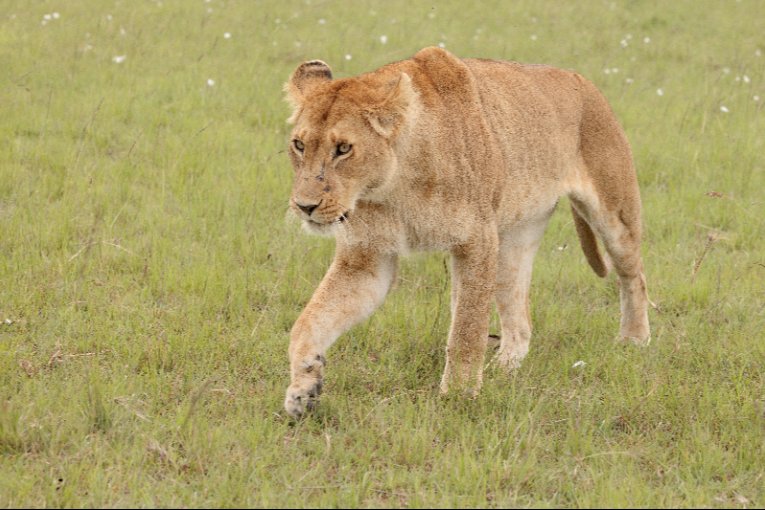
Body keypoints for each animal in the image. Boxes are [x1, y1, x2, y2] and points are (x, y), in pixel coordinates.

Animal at [282, 47, 650, 419]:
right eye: (299, 145)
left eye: (343, 149)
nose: (304, 206)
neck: (393, 188)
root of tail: (583, 81)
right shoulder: (367, 259)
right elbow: (309, 321)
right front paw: (303, 388)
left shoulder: (476, 241)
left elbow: (466, 330)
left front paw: (458, 397)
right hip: (513, 242)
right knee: (520, 323)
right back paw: (502, 370)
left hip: (614, 212)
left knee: (634, 275)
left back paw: (634, 340)